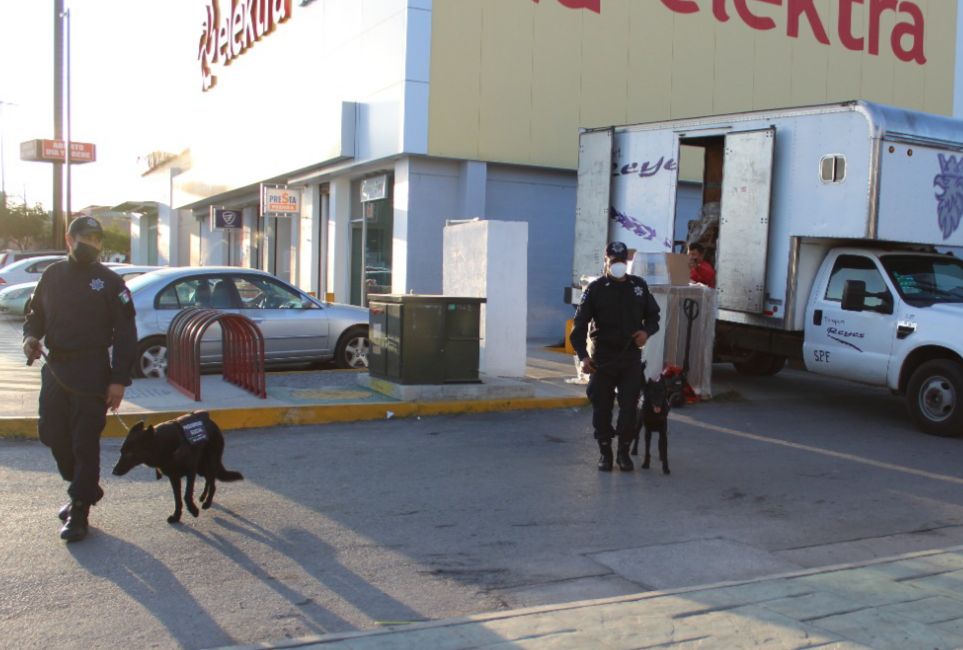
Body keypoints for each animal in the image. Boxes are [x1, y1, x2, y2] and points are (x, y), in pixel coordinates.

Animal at [112, 410, 243, 520]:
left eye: (129, 454)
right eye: (121, 452)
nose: (114, 472)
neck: (162, 444)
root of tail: (211, 421)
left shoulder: (190, 472)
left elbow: (186, 495)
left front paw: (193, 510)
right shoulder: (174, 477)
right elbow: (177, 498)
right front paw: (176, 516)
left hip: (208, 462)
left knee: (213, 483)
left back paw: (207, 502)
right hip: (201, 467)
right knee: (209, 480)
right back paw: (202, 497)